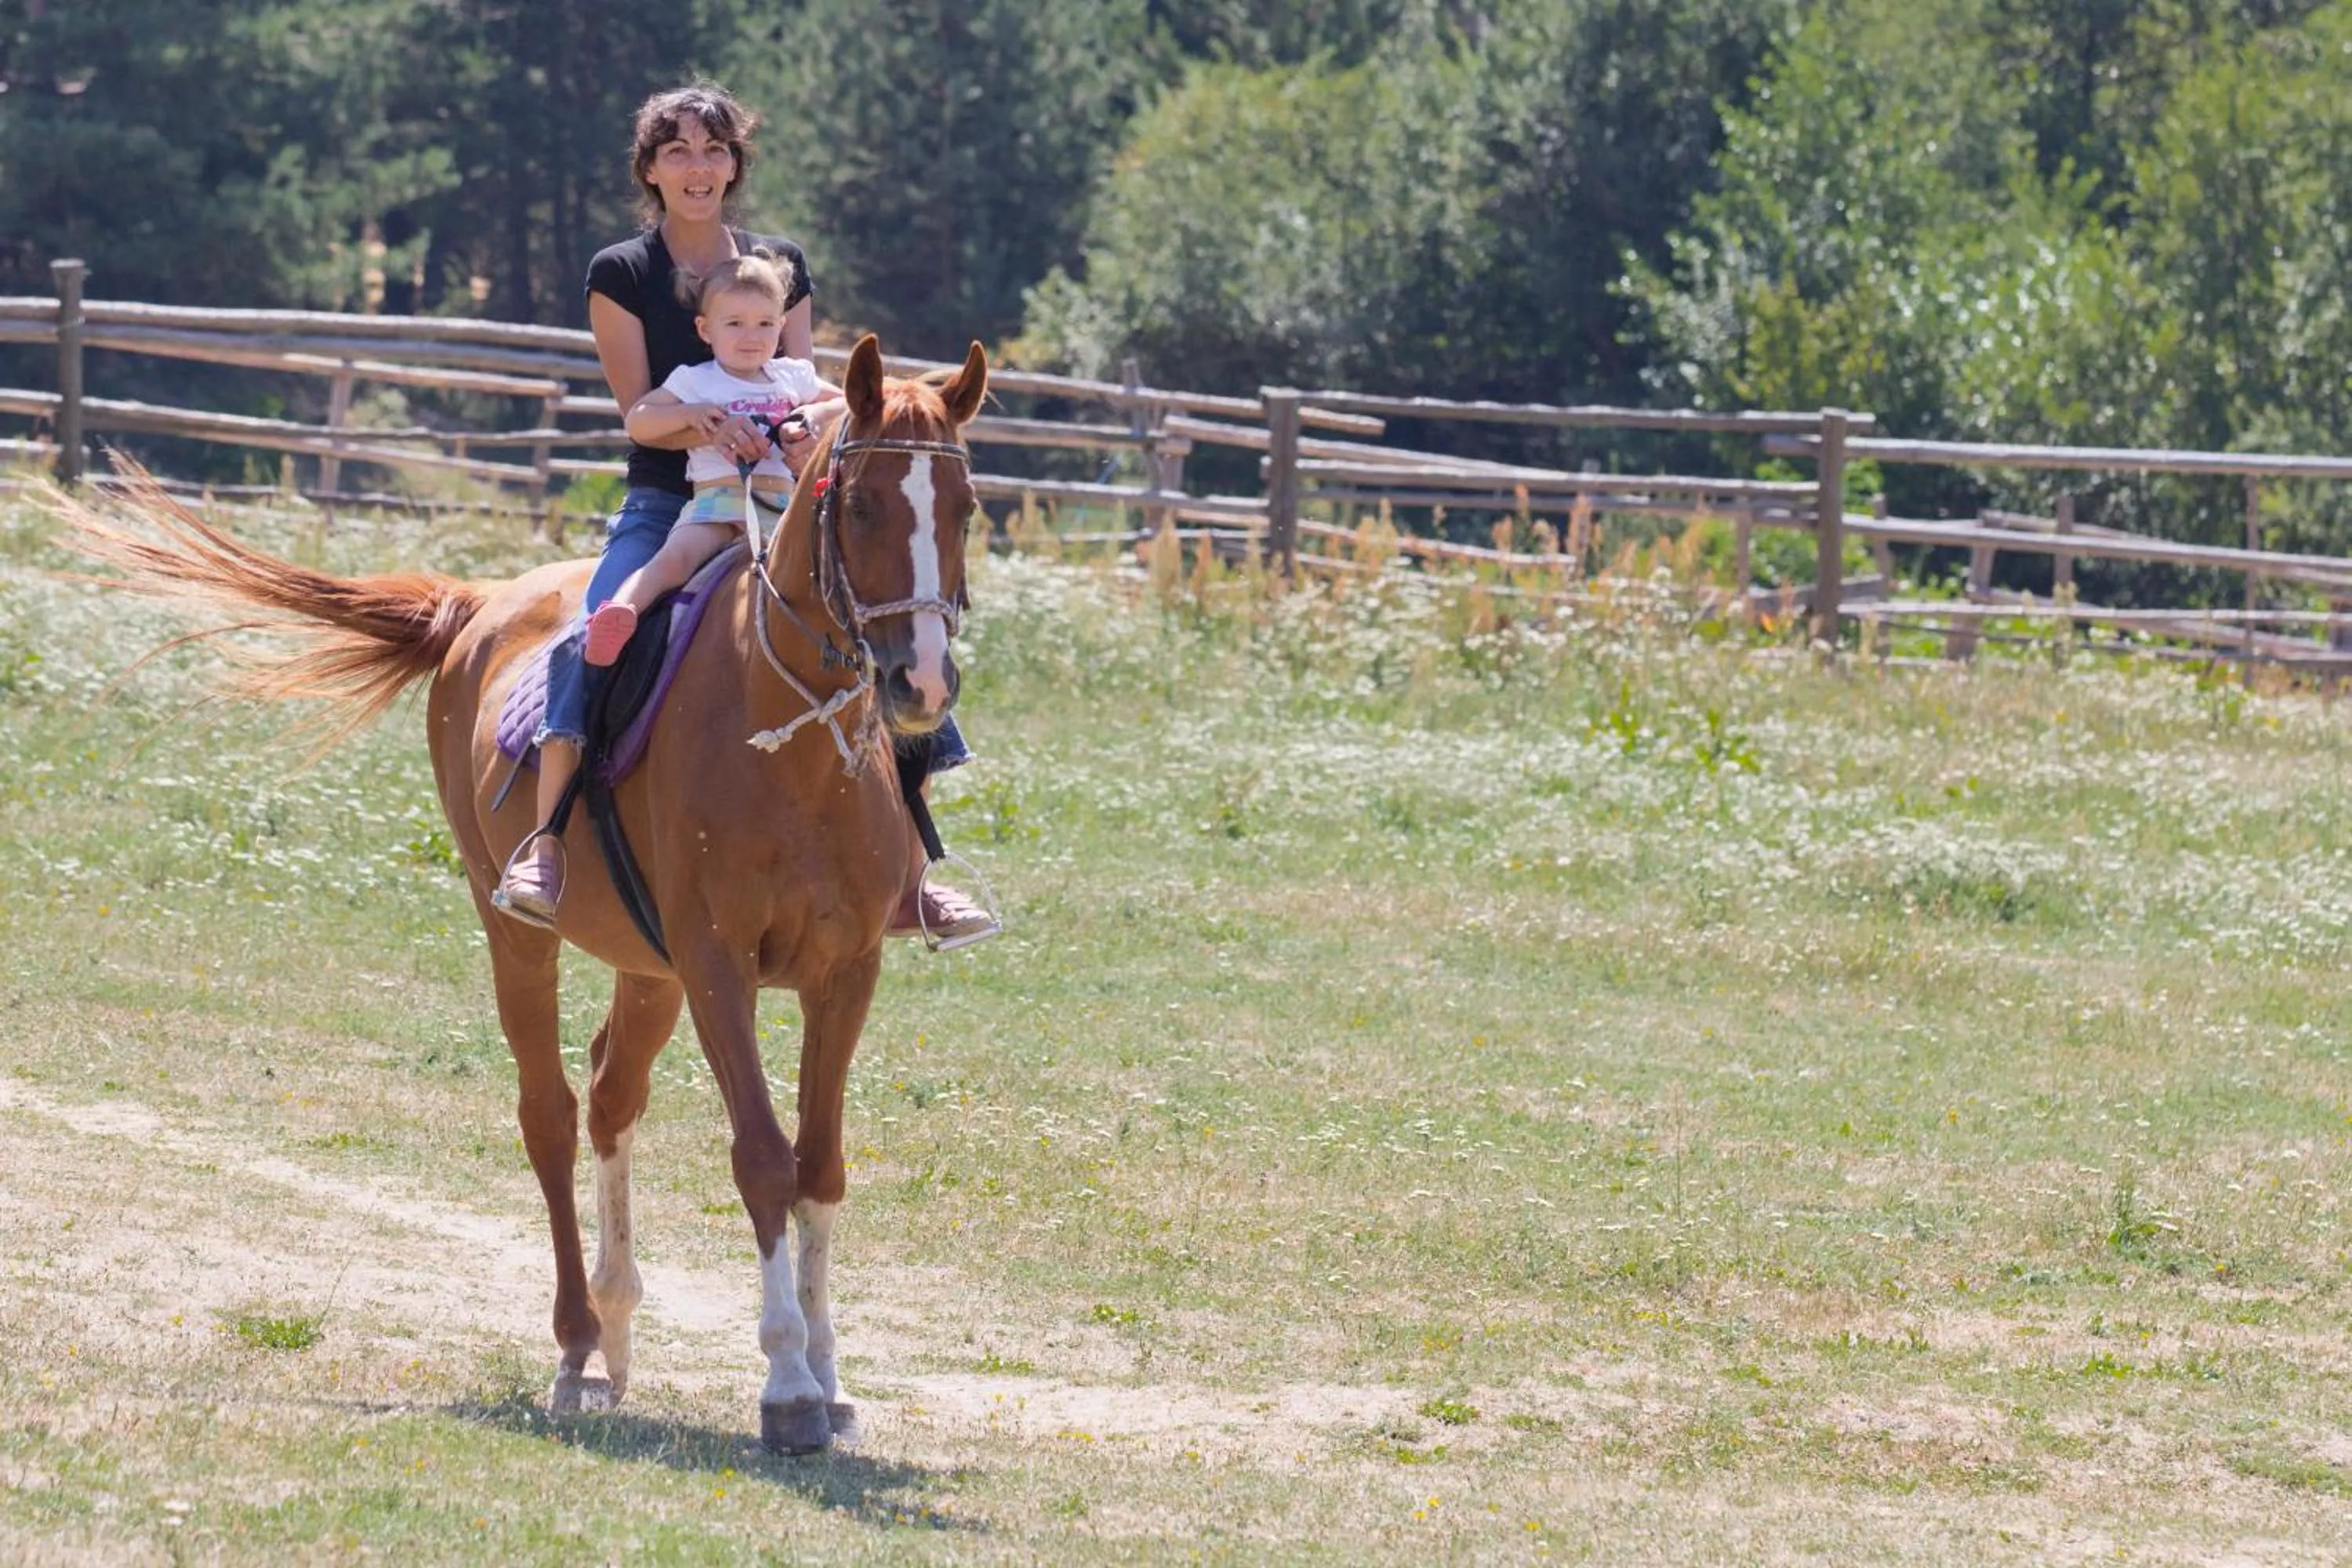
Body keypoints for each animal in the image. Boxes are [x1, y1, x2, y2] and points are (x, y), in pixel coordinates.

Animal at [59, 334, 986, 1455]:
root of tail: (476, 606)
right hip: (521, 935)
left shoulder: (844, 970)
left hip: (649, 967)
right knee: (549, 1111)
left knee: (612, 1095)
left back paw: (620, 1328)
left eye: (965, 504)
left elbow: (822, 1164)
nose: (919, 685)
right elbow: (764, 1158)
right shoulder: (719, 965)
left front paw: (831, 1371)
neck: (790, 742)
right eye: (860, 506)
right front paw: (787, 1384)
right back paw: (581, 1343)